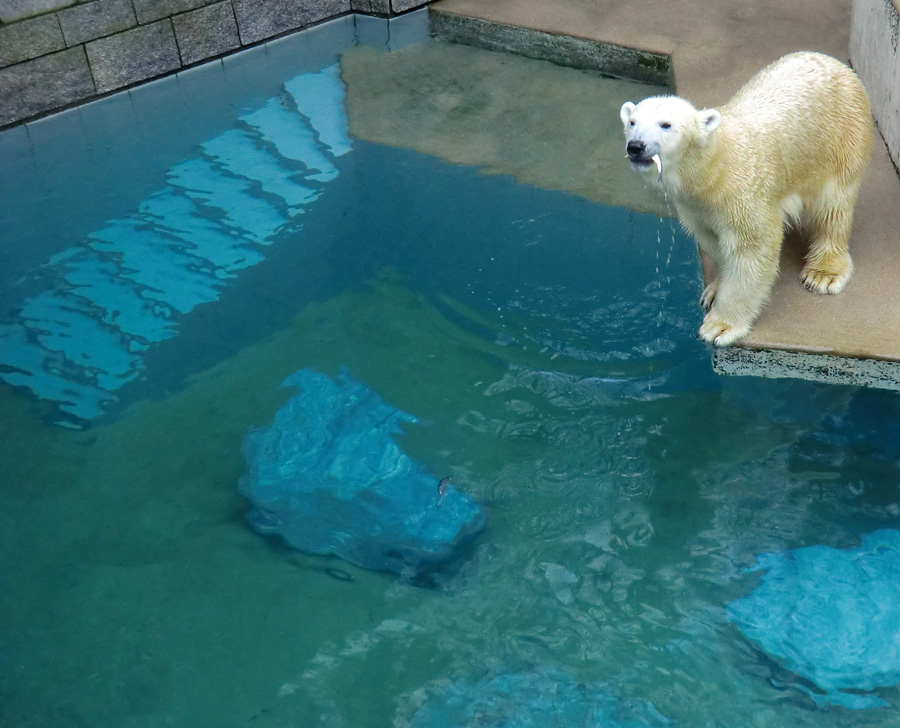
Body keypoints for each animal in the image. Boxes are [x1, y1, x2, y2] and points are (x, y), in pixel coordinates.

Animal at [620, 51, 872, 346]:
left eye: (666, 125)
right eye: (632, 122)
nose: (636, 146)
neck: (713, 169)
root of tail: (835, 63)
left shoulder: (744, 194)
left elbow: (751, 252)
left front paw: (720, 326)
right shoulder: (696, 207)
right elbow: (713, 241)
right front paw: (714, 290)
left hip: (841, 140)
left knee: (833, 206)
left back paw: (823, 273)